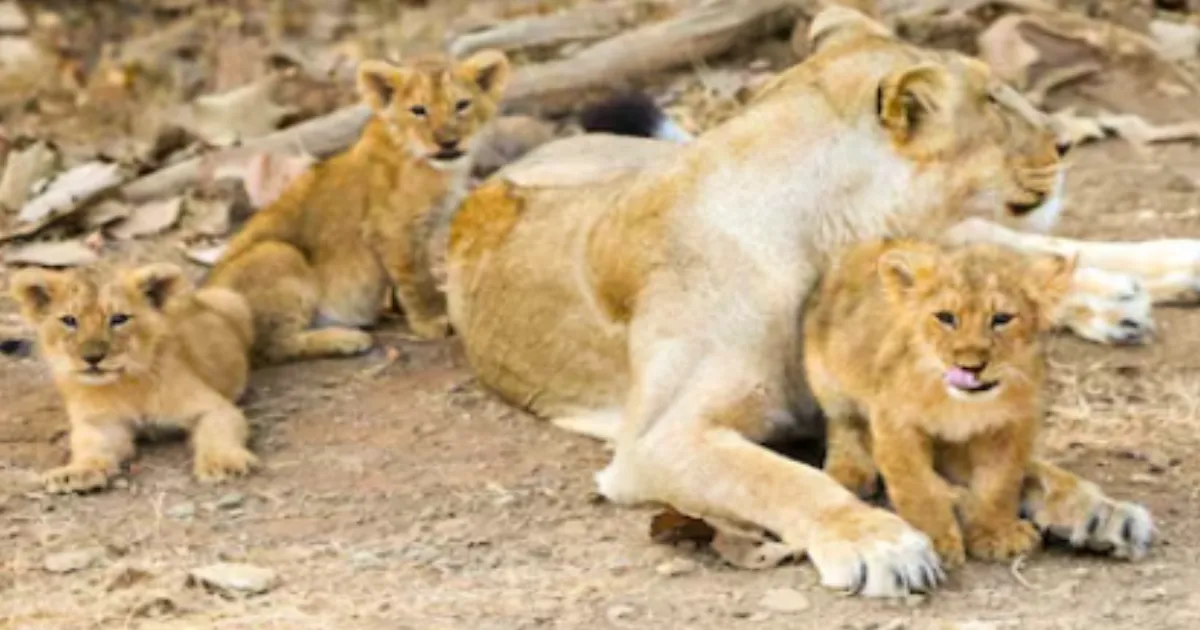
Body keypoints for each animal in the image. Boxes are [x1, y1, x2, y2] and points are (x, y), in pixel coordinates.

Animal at [10, 263, 257, 493]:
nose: (92, 358)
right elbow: (90, 445)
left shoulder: (214, 407)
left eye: (119, 319)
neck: (126, 384)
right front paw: (77, 472)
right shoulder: (102, 422)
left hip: (231, 300)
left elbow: (217, 430)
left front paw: (222, 463)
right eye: (70, 320)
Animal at [205, 49, 511, 362]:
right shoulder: (392, 230)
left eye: (462, 104)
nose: (448, 142)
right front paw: (432, 321)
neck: (436, 167)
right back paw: (345, 338)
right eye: (418, 110)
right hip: (278, 253)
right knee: (272, 346)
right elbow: (417, 279)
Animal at [805, 239, 1075, 567]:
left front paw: (995, 532)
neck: (960, 403)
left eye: (1001, 319)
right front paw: (935, 540)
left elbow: (999, 482)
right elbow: (917, 487)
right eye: (946, 317)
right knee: (843, 424)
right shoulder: (895, 422)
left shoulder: (1011, 425)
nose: (970, 366)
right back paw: (850, 471)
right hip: (828, 378)